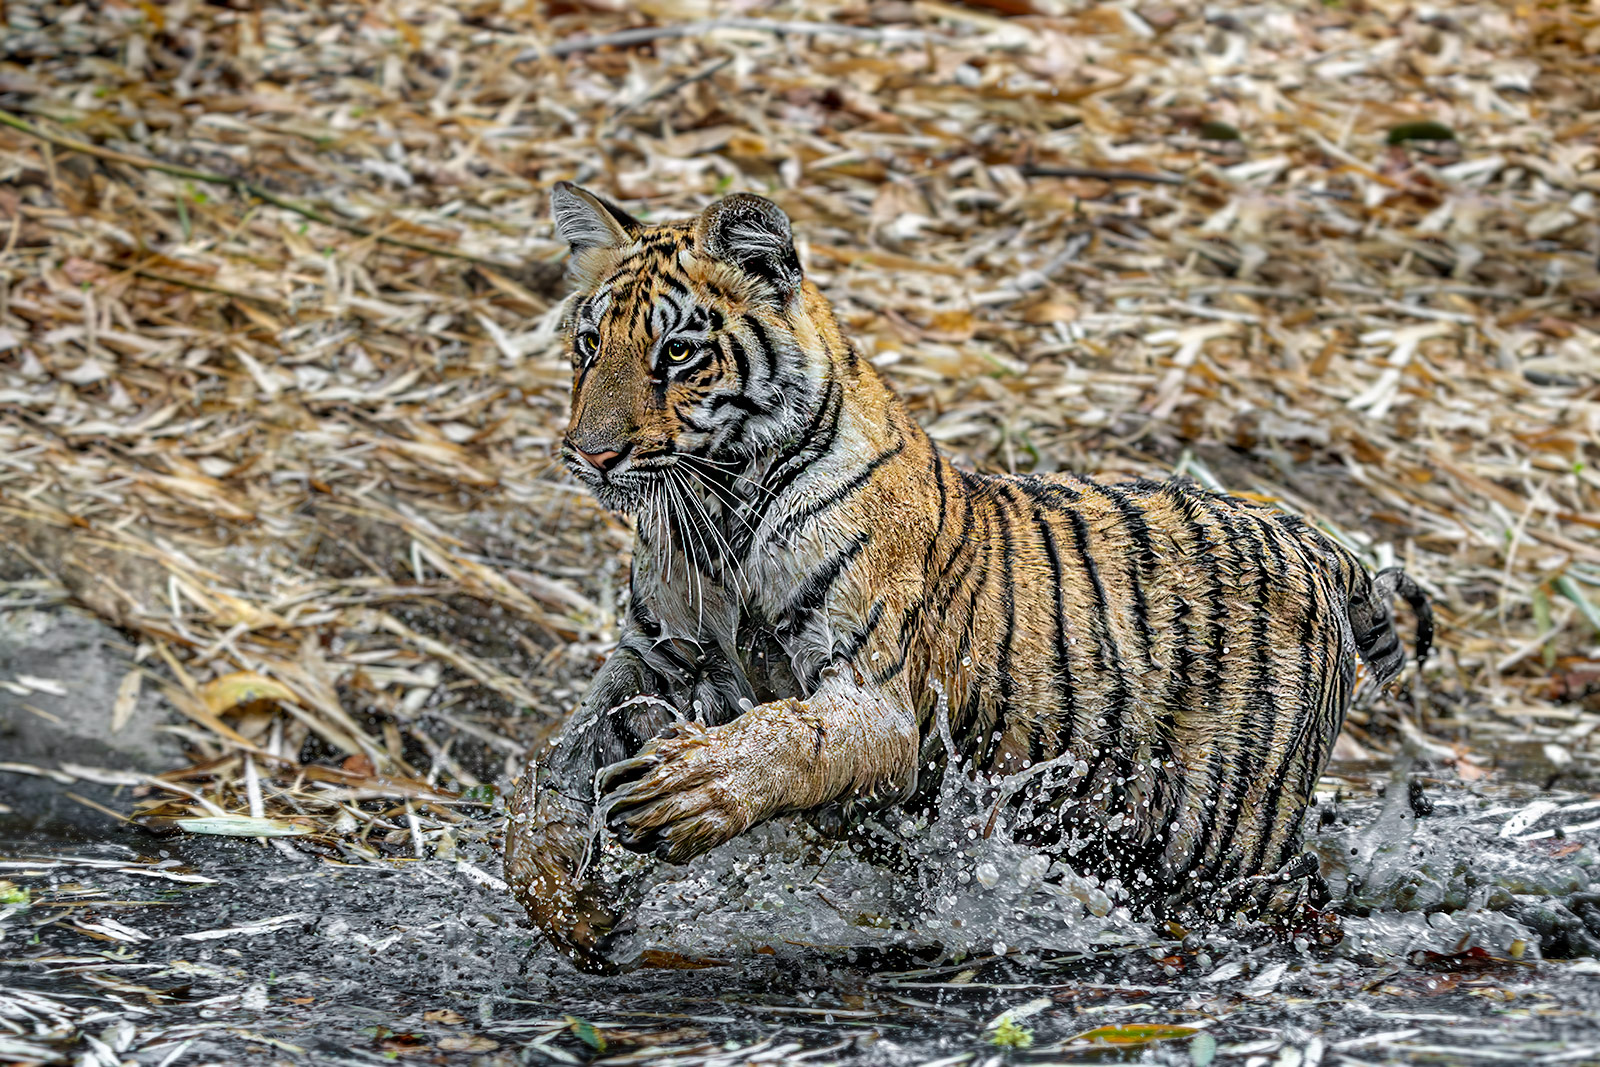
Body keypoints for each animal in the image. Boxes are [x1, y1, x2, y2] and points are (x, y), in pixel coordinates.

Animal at [502, 182, 1432, 970]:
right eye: (590, 345)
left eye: (679, 352)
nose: (589, 454)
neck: (719, 510)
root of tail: (1307, 532)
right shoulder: (656, 655)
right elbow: (556, 758)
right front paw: (561, 897)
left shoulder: (873, 695)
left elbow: (786, 736)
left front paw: (688, 791)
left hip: (1228, 840)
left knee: (1297, 902)